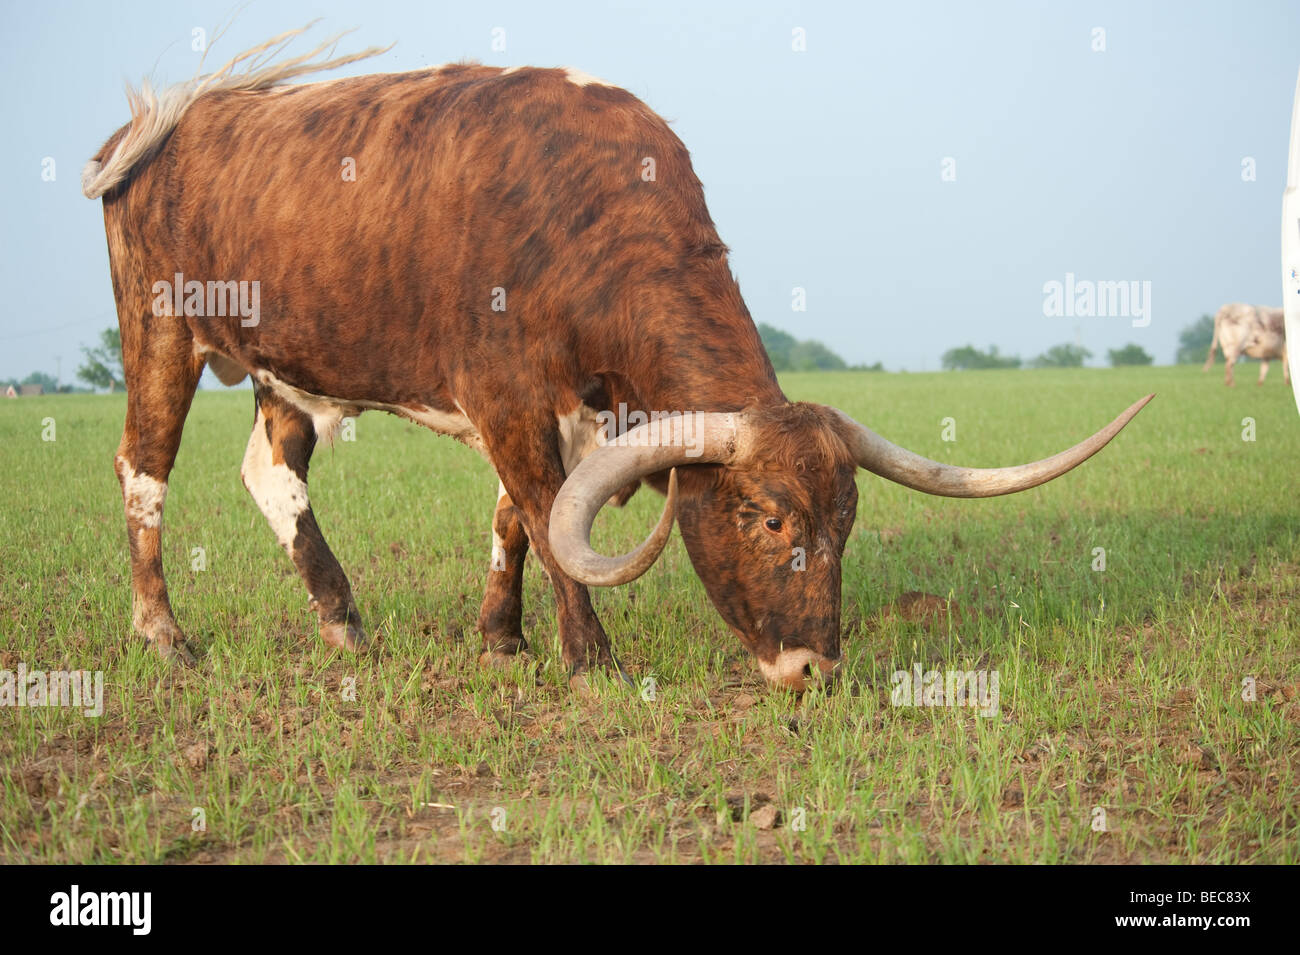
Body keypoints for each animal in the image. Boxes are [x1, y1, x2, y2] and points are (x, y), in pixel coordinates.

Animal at [86, 27, 1154, 686]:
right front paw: (591, 661)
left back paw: (342, 619)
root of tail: (171, 122)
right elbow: (546, 516)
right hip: (161, 332)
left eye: (849, 520)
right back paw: (165, 634)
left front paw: (503, 640)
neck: (578, 216)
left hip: (288, 370)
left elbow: (520, 520)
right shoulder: (506, 396)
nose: (815, 669)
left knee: (272, 474)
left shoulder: (553, 408)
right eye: (768, 518)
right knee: (143, 470)